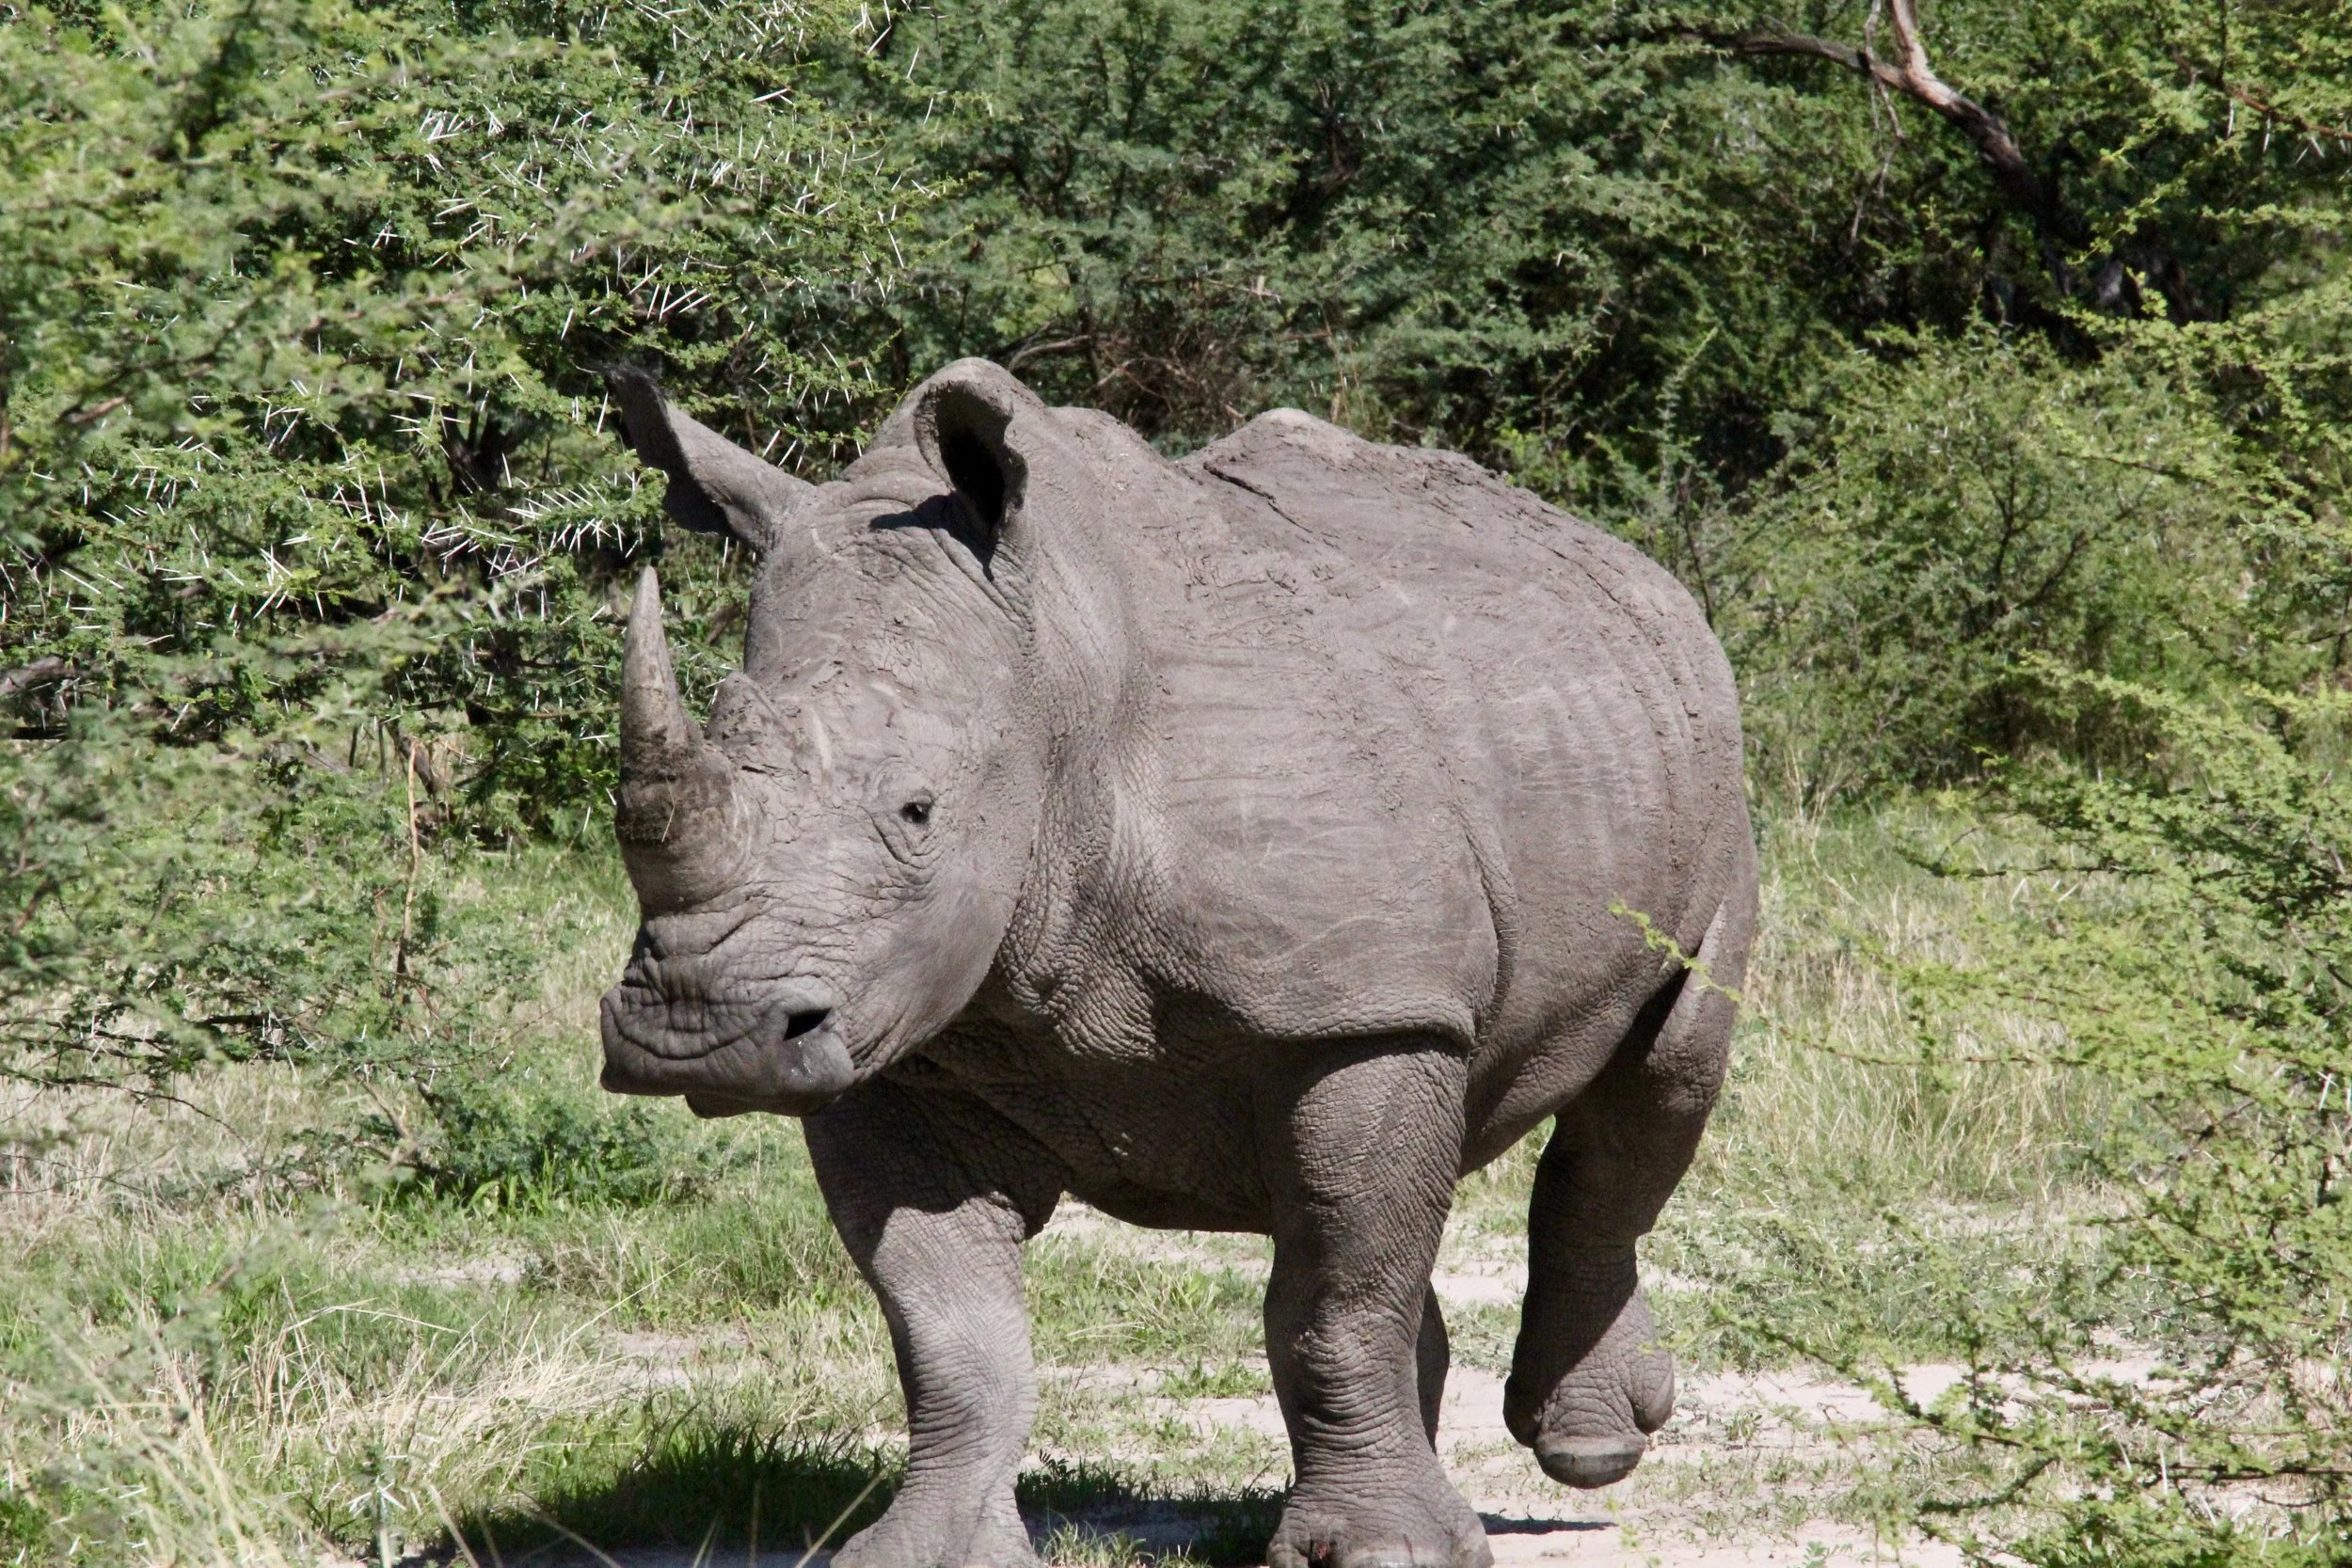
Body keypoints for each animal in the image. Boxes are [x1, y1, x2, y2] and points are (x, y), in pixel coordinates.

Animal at [598, 359, 1756, 1568]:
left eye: (918, 810)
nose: (696, 1027)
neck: (1053, 688)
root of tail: (1623, 559)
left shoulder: (1367, 1010)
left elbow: (1341, 1301)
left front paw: (1386, 1552)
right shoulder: (894, 1038)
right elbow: (947, 1330)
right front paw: (925, 1550)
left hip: (1708, 771)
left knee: (1656, 1080)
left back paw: (1590, 1448)